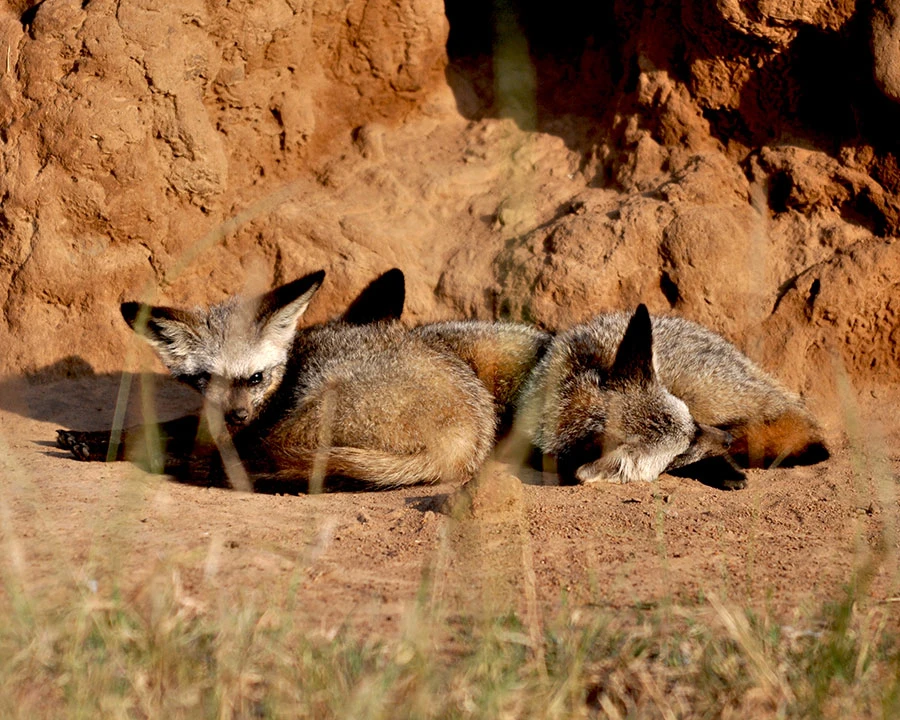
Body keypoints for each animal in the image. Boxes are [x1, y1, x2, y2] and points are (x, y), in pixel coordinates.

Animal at [57, 269, 497, 491]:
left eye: (256, 377)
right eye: (207, 379)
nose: (237, 414)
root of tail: (468, 440)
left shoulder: (256, 423)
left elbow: (170, 436)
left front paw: (111, 446)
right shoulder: (216, 419)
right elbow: (158, 425)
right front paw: (93, 438)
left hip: (302, 419)